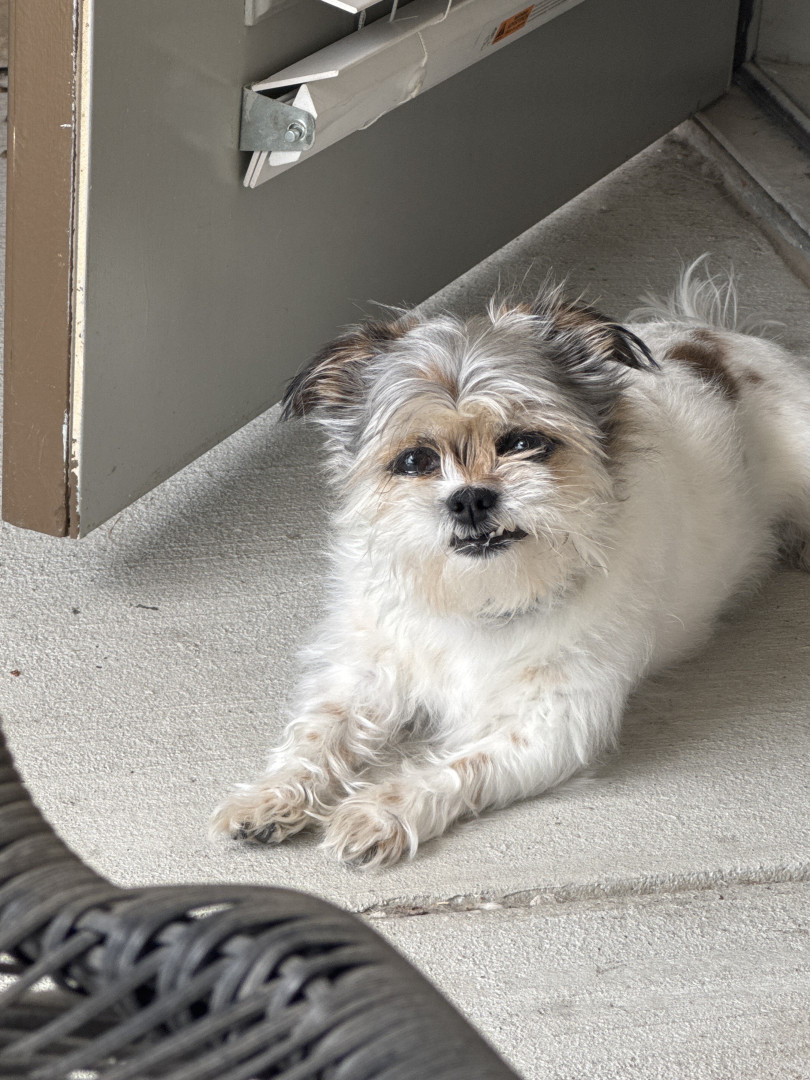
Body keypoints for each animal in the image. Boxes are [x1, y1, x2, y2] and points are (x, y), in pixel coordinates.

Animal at [211, 259, 810, 866]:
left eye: (523, 442)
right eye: (415, 460)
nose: (471, 498)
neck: (480, 593)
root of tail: (716, 335)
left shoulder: (549, 725)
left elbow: (458, 767)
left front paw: (379, 810)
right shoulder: (366, 672)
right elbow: (319, 733)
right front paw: (271, 796)